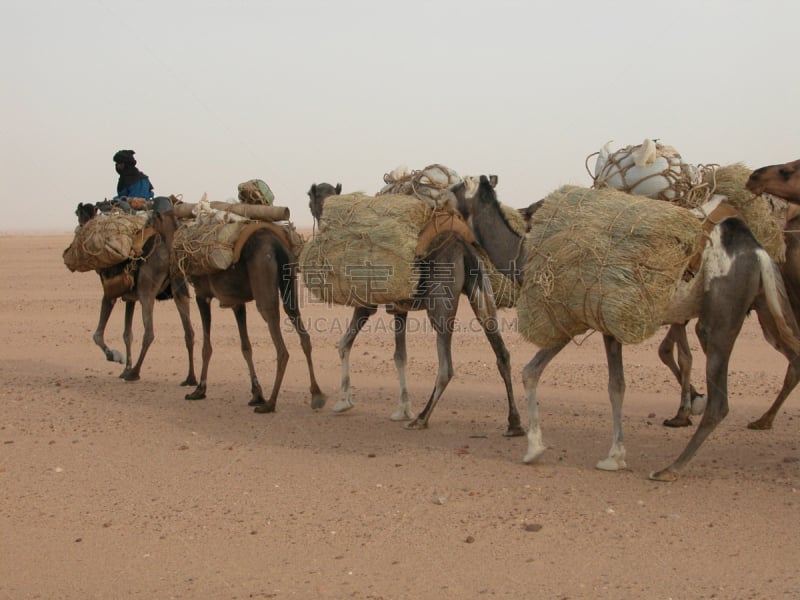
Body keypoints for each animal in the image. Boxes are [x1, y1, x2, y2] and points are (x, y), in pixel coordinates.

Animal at [74, 203, 197, 384]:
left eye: (79, 215)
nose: (80, 228)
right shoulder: (130, 298)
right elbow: (127, 334)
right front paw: (125, 368)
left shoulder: (110, 294)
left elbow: (98, 335)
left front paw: (115, 357)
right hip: (179, 289)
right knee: (189, 332)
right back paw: (190, 378)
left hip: (147, 292)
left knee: (149, 333)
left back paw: (135, 373)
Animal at [184, 223, 324, 414]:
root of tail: (276, 245)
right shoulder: (236, 302)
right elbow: (246, 347)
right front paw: (256, 394)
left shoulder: (202, 295)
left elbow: (207, 347)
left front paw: (199, 390)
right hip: (289, 282)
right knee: (302, 331)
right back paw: (316, 394)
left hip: (263, 280)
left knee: (280, 345)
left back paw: (270, 403)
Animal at [306, 183, 524, 436]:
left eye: (310, 201)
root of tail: (464, 248)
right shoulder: (400, 308)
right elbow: (400, 356)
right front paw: (402, 409)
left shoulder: (366, 304)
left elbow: (344, 344)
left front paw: (343, 402)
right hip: (480, 292)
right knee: (502, 354)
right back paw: (514, 423)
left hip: (440, 302)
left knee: (446, 367)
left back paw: (421, 418)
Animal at [454, 176, 800, 480]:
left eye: (456, 186)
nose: (443, 193)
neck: (524, 255)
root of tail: (758, 252)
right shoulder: (602, 324)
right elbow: (612, 385)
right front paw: (611, 455)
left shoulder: (571, 317)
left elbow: (540, 374)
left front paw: (540, 450)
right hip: (766, 306)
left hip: (720, 313)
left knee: (719, 401)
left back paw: (670, 469)